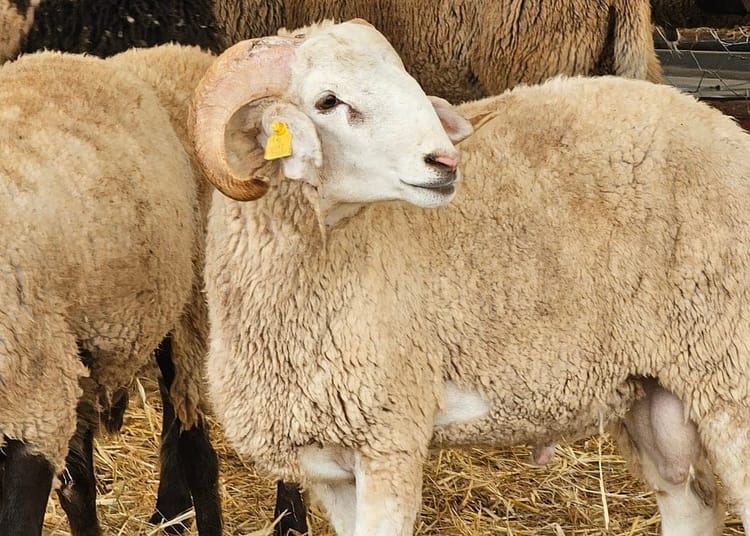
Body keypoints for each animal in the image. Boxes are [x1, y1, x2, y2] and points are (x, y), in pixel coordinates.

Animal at [189, 18, 750, 536]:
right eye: (328, 101)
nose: (444, 160)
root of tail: (725, 126)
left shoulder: (390, 438)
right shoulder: (330, 466)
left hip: (730, 372)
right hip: (655, 389)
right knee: (692, 502)